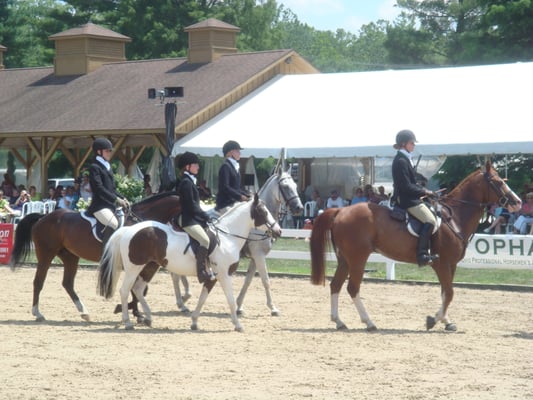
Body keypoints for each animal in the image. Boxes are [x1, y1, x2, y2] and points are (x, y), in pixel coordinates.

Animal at [8, 191, 181, 322]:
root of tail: (43, 217)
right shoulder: (133, 263)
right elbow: (137, 288)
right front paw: (130, 311)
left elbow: (140, 288)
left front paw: (134, 312)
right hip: (46, 254)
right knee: (38, 281)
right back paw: (38, 313)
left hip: (70, 256)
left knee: (67, 283)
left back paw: (84, 312)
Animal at [96, 195, 280, 332]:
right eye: (263, 211)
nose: (278, 231)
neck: (228, 237)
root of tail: (128, 229)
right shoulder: (224, 275)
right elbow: (231, 300)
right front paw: (238, 325)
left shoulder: (212, 277)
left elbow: (202, 298)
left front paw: (194, 321)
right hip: (134, 268)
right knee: (125, 290)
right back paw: (127, 322)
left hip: (151, 266)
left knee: (138, 289)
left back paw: (147, 318)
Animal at [170, 166, 304, 316]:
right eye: (285, 187)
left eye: (295, 186)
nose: (299, 208)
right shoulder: (259, 255)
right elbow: (265, 280)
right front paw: (273, 308)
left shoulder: (255, 257)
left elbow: (248, 280)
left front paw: (239, 305)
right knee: (175, 274)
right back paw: (182, 302)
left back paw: (184, 299)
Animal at [308, 161, 520, 332]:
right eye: (498, 182)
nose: (517, 202)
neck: (455, 217)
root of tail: (340, 210)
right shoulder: (442, 263)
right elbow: (450, 293)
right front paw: (433, 320)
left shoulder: (451, 265)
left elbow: (446, 293)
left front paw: (446, 321)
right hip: (358, 258)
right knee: (353, 288)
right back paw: (369, 322)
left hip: (345, 259)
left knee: (335, 285)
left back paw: (339, 321)